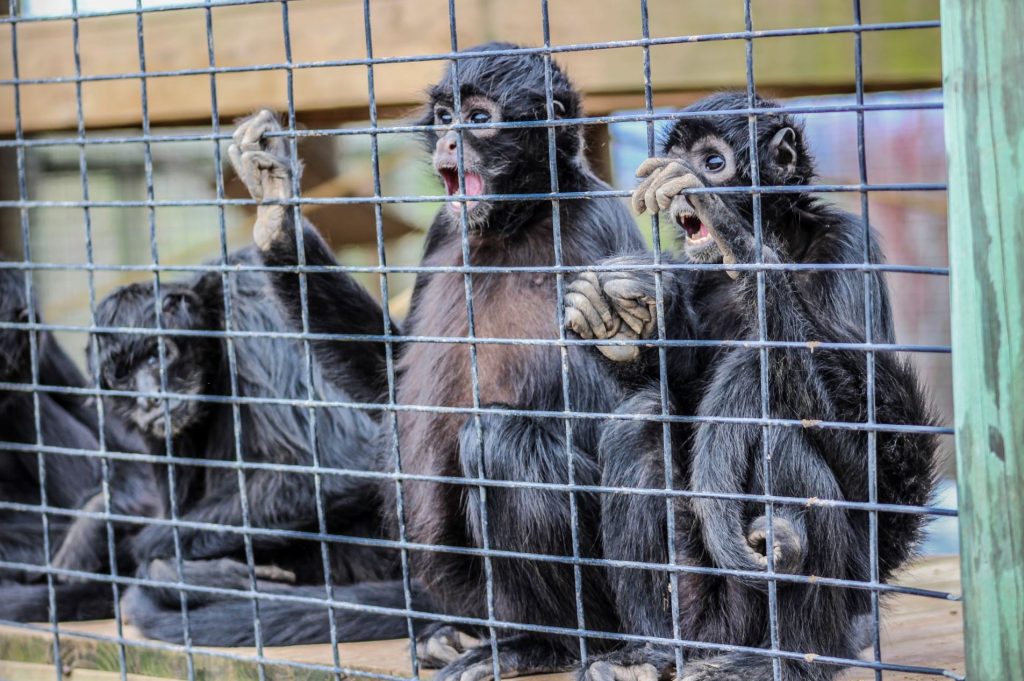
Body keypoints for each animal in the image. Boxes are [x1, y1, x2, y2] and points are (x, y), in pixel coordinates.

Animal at [95, 245, 415, 643]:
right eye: (122, 377)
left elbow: (345, 457)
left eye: (155, 356)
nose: (148, 400)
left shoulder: (247, 296)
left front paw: (149, 555)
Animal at [230, 42, 638, 675]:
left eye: (479, 119)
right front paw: (277, 216)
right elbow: (390, 377)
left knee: (496, 438)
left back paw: (544, 644)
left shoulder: (599, 223)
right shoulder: (444, 231)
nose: (449, 143)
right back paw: (461, 631)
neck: (513, 226)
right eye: (446, 118)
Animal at [565, 91, 937, 679]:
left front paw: (743, 245)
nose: (679, 186)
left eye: (712, 163)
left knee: (777, 438)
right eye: (680, 156)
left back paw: (793, 659)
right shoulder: (699, 275)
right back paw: (655, 650)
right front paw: (624, 321)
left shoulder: (848, 244)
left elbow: (874, 471)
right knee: (639, 420)